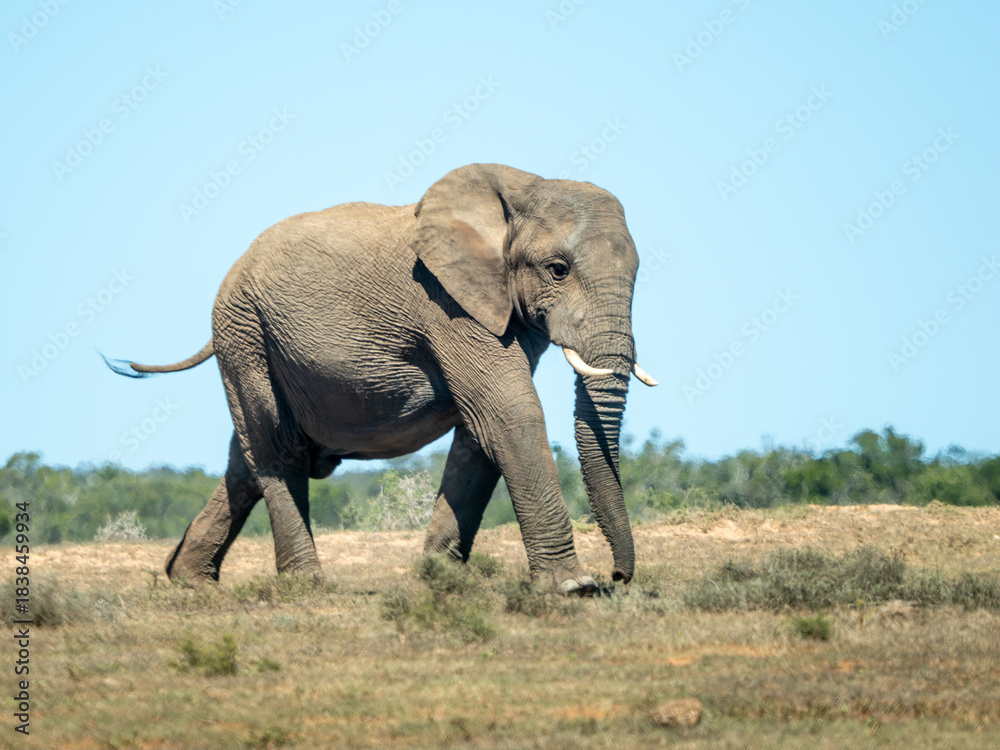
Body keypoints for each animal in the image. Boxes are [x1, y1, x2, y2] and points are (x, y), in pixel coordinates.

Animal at [108, 163, 657, 593]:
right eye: (558, 269)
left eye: (638, 274)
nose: (618, 577)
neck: (519, 189)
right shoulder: (447, 303)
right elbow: (509, 414)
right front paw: (573, 589)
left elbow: (478, 432)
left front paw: (438, 577)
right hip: (244, 334)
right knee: (274, 448)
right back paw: (305, 583)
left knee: (243, 460)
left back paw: (189, 581)